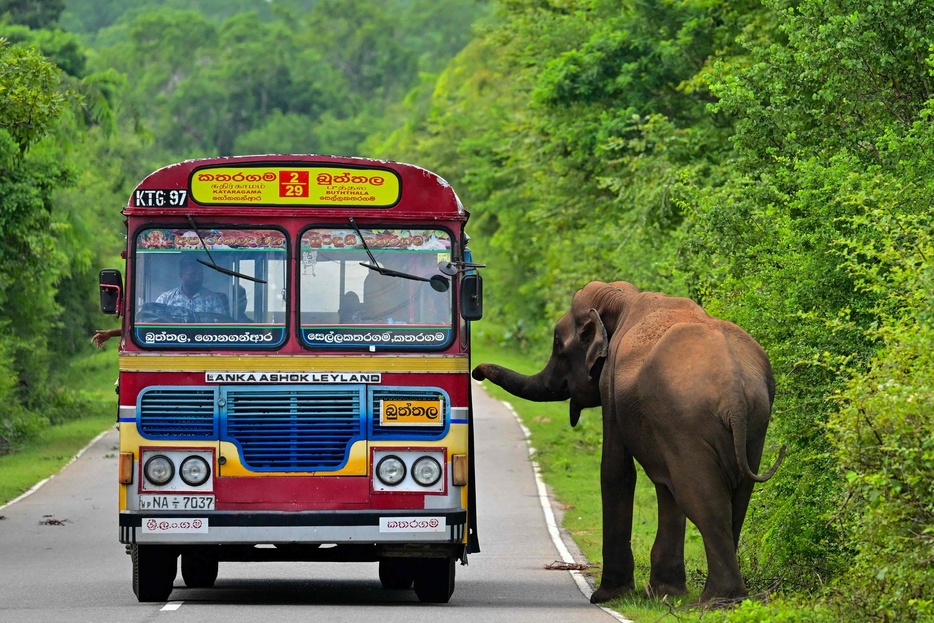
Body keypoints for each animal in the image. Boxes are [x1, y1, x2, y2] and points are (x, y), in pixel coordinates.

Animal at [472, 282, 788, 604]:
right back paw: (723, 598)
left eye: (558, 344)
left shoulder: (611, 386)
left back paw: (716, 599)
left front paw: (606, 596)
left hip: (688, 417)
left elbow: (617, 471)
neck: (620, 298)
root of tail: (734, 393)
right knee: (734, 495)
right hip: (754, 422)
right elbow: (664, 485)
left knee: (701, 497)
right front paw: (664, 594)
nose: (476, 372)